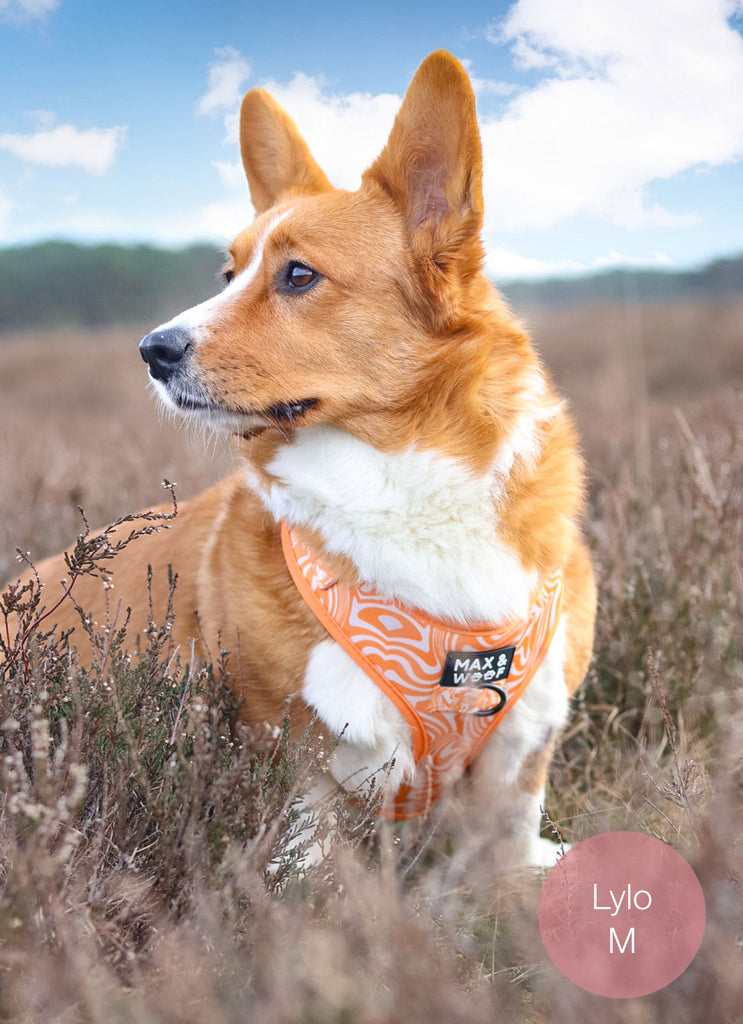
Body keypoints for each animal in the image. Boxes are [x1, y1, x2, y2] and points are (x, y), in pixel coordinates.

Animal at [11, 48, 597, 864]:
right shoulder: (301, 768)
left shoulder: (519, 753)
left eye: (298, 275)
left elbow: (505, 861)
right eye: (228, 277)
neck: (399, 476)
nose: (151, 351)